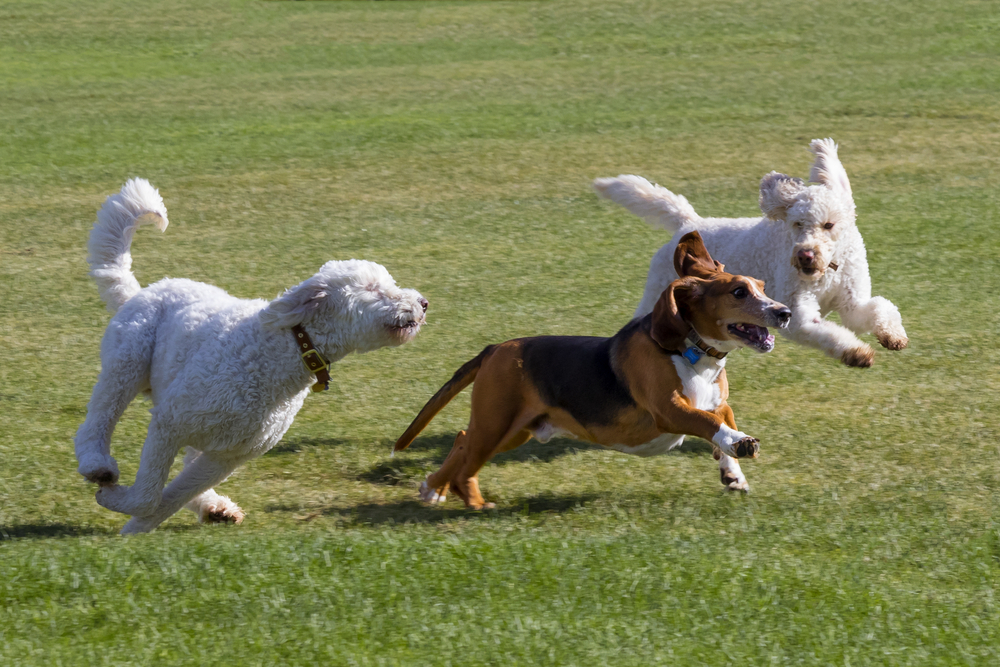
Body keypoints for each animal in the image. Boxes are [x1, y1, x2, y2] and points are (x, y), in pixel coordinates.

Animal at [74, 180, 426, 536]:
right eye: (373, 288)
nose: (423, 303)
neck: (280, 353)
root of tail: (141, 292)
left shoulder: (228, 456)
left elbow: (168, 498)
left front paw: (133, 529)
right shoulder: (169, 423)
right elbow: (149, 494)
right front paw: (114, 503)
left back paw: (214, 508)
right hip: (127, 363)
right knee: (98, 420)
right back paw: (98, 465)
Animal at [592, 140, 908, 370]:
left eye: (828, 225)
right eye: (797, 223)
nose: (805, 255)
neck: (827, 271)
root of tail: (689, 223)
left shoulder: (852, 301)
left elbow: (878, 309)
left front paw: (893, 336)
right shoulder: (798, 314)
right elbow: (827, 331)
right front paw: (856, 353)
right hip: (659, 292)